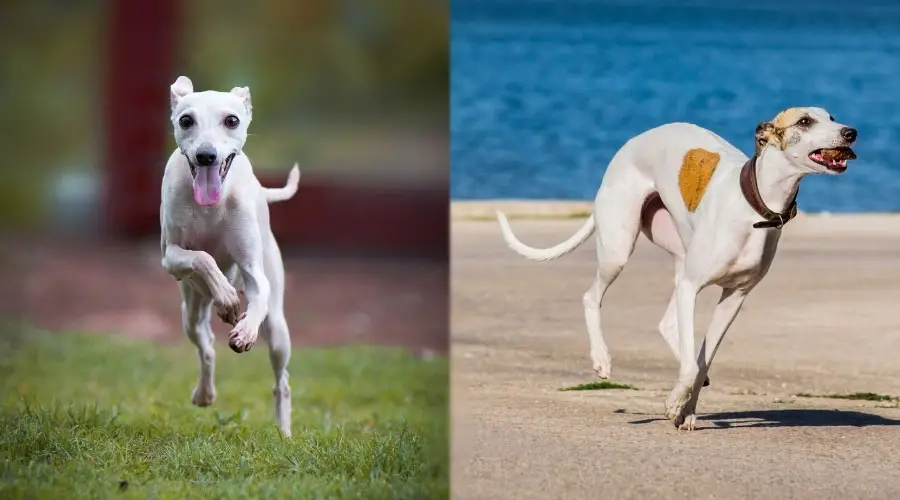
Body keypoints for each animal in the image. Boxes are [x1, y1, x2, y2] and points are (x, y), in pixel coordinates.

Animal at [160, 75, 300, 438]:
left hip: (279, 333)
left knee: (282, 381)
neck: (212, 206)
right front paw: (225, 297)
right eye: (186, 120)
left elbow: (257, 295)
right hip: (191, 313)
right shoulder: (171, 257)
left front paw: (246, 330)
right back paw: (204, 392)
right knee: (206, 346)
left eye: (232, 120)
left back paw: (284, 432)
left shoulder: (253, 270)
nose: (206, 155)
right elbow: (202, 258)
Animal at [500, 108, 856, 430]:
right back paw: (601, 359)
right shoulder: (692, 286)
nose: (851, 132)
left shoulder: (735, 297)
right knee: (592, 296)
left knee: (669, 325)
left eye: (832, 117)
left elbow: (701, 362)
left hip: (679, 254)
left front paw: (685, 408)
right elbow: (691, 366)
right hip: (619, 247)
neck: (754, 206)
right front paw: (674, 403)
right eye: (805, 121)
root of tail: (632, 143)